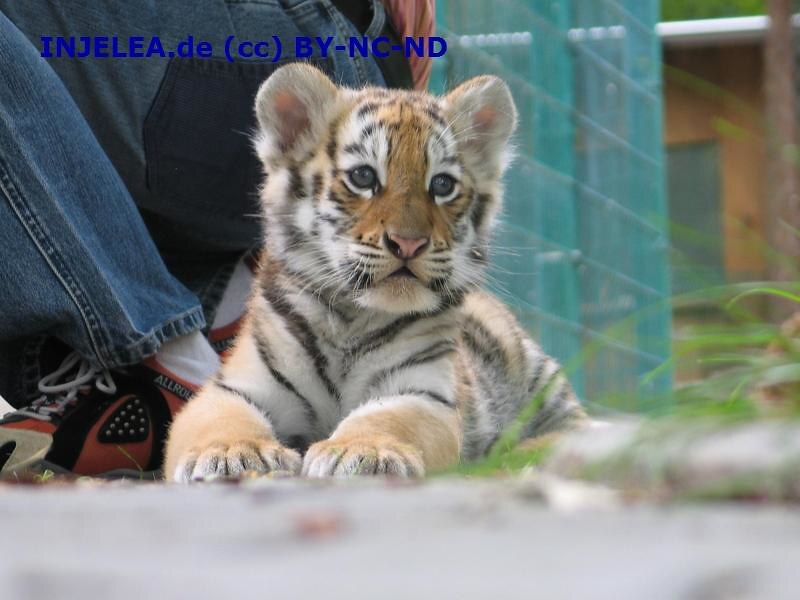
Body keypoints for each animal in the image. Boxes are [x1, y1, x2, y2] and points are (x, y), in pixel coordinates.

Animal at [164, 63, 586, 481]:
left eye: (442, 184)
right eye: (364, 177)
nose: (408, 243)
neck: (350, 319)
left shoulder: (422, 392)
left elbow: (386, 419)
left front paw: (361, 450)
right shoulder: (234, 387)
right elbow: (221, 419)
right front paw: (231, 451)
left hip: (536, 375)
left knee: (577, 427)